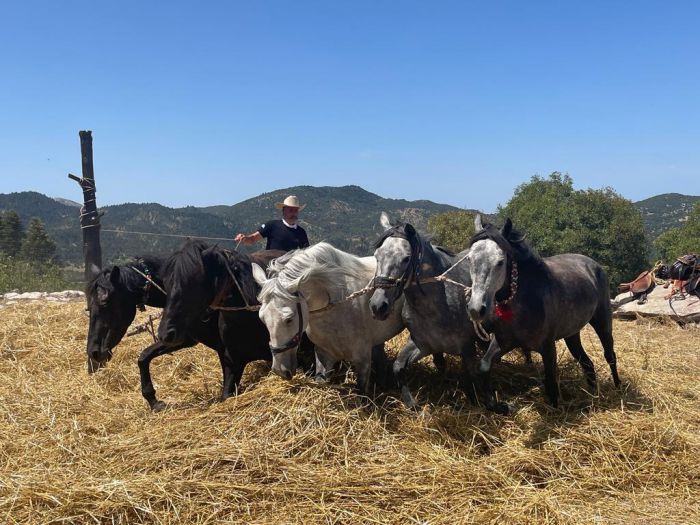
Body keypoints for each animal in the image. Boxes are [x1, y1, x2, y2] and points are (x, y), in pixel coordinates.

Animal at [370, 212, 494, 410]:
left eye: (406, 258)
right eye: (376, 256)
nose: (377, 306)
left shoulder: (467, 347)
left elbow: (471, 375)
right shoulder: (424, 344)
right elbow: (398, 367)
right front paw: (412, 404)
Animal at [468, 215, 620, 408]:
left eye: (500, 262)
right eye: (469, 259)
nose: (476, 309)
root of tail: (594, 265)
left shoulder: (547, 346)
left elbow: (551, 384)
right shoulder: (503, 342)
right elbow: (484, 366)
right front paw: (495, 405)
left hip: (603, 322)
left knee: (610, 355)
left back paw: (618, 387)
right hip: (572, 334)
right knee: (587, 363)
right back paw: (592, 393)